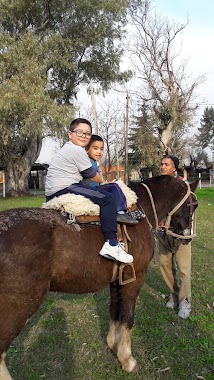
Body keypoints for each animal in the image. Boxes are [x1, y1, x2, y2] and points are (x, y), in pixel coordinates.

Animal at [0, 174, 199, 378]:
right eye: (194, 204)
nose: (187, 238)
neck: (140, 211)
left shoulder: (117, 281)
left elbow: (115, 311)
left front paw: (113, 345)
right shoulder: (135, 278)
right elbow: (127, 317)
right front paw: (127, 360)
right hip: (19, 306)